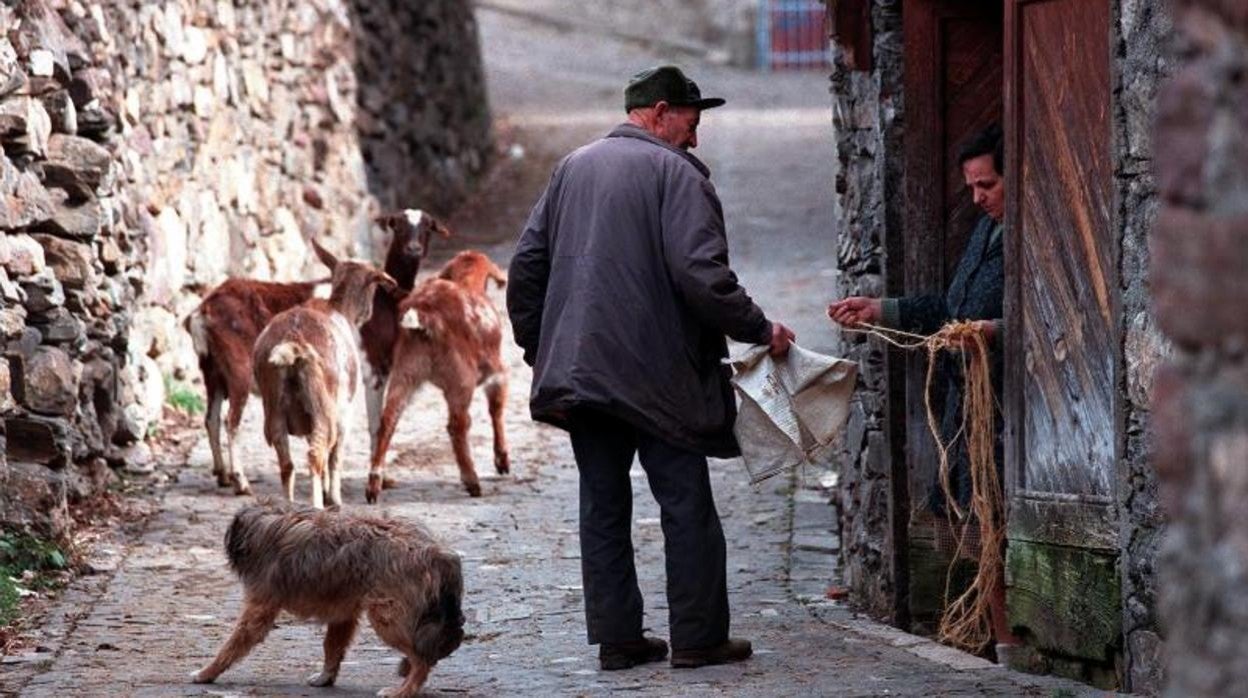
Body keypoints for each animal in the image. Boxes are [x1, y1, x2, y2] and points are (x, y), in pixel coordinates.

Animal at [192, 499, 466, 694]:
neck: (274, 519)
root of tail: (436, 552)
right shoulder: (343, 614)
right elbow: (333, 646)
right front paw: (326, 677)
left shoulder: (260, 607)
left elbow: (233, 644)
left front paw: (207, 672)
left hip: (388, 616)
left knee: (423, 660)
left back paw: (404, 689)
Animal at [258, 242, 399, 506]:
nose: (368, 313)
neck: (339, 309)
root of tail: (294, 340)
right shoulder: (343, 413)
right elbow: (336, 457)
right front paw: (333, 497)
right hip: (323, 407)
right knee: (316, 454)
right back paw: (318, 506)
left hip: (275, 408)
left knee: (287, 464)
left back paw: (289, 505)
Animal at [364, 250, 511, 501]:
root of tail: (426, 315)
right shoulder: (497, 370)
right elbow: (496, 408)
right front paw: (502, 461)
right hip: (462, 379)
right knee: (457, 425)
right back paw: (472, 482)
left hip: (406, 372)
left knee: (388, 420)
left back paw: (374, 485)